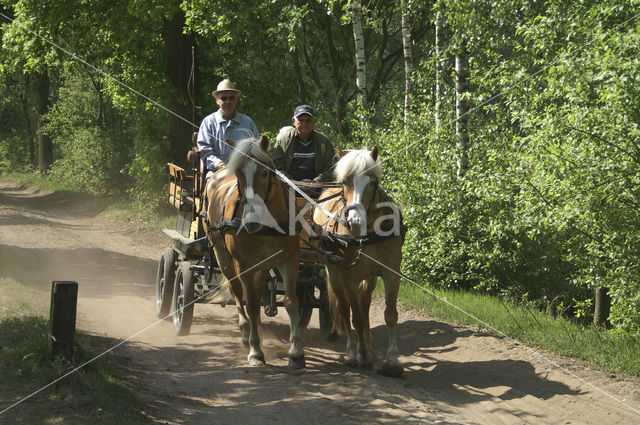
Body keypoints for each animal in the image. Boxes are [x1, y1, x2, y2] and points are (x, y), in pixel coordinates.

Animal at [204, 136, 306, 368]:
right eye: (239, 175)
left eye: (265, 172)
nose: (251, 220)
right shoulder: (244, 264)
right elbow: (249, 303)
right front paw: (255, 352)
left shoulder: (289, 260)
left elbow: (291, 302)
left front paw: (296, 352)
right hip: (223, 256)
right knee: (237, 292)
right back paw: (246, 332)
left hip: (262, 266)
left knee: (258, 295)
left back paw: (256, 327)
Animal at [312, 147, 404, 378]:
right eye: (345, 182)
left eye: (373, 182)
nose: (354, 222)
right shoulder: (349, 278)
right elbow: (357, 319)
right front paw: (363, 356)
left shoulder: (391, 273)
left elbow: (390, 315)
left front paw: (393, 361)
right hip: (335, 274)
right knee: (346, 311)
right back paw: (354, 353)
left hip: (369, 277)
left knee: (364, 302)